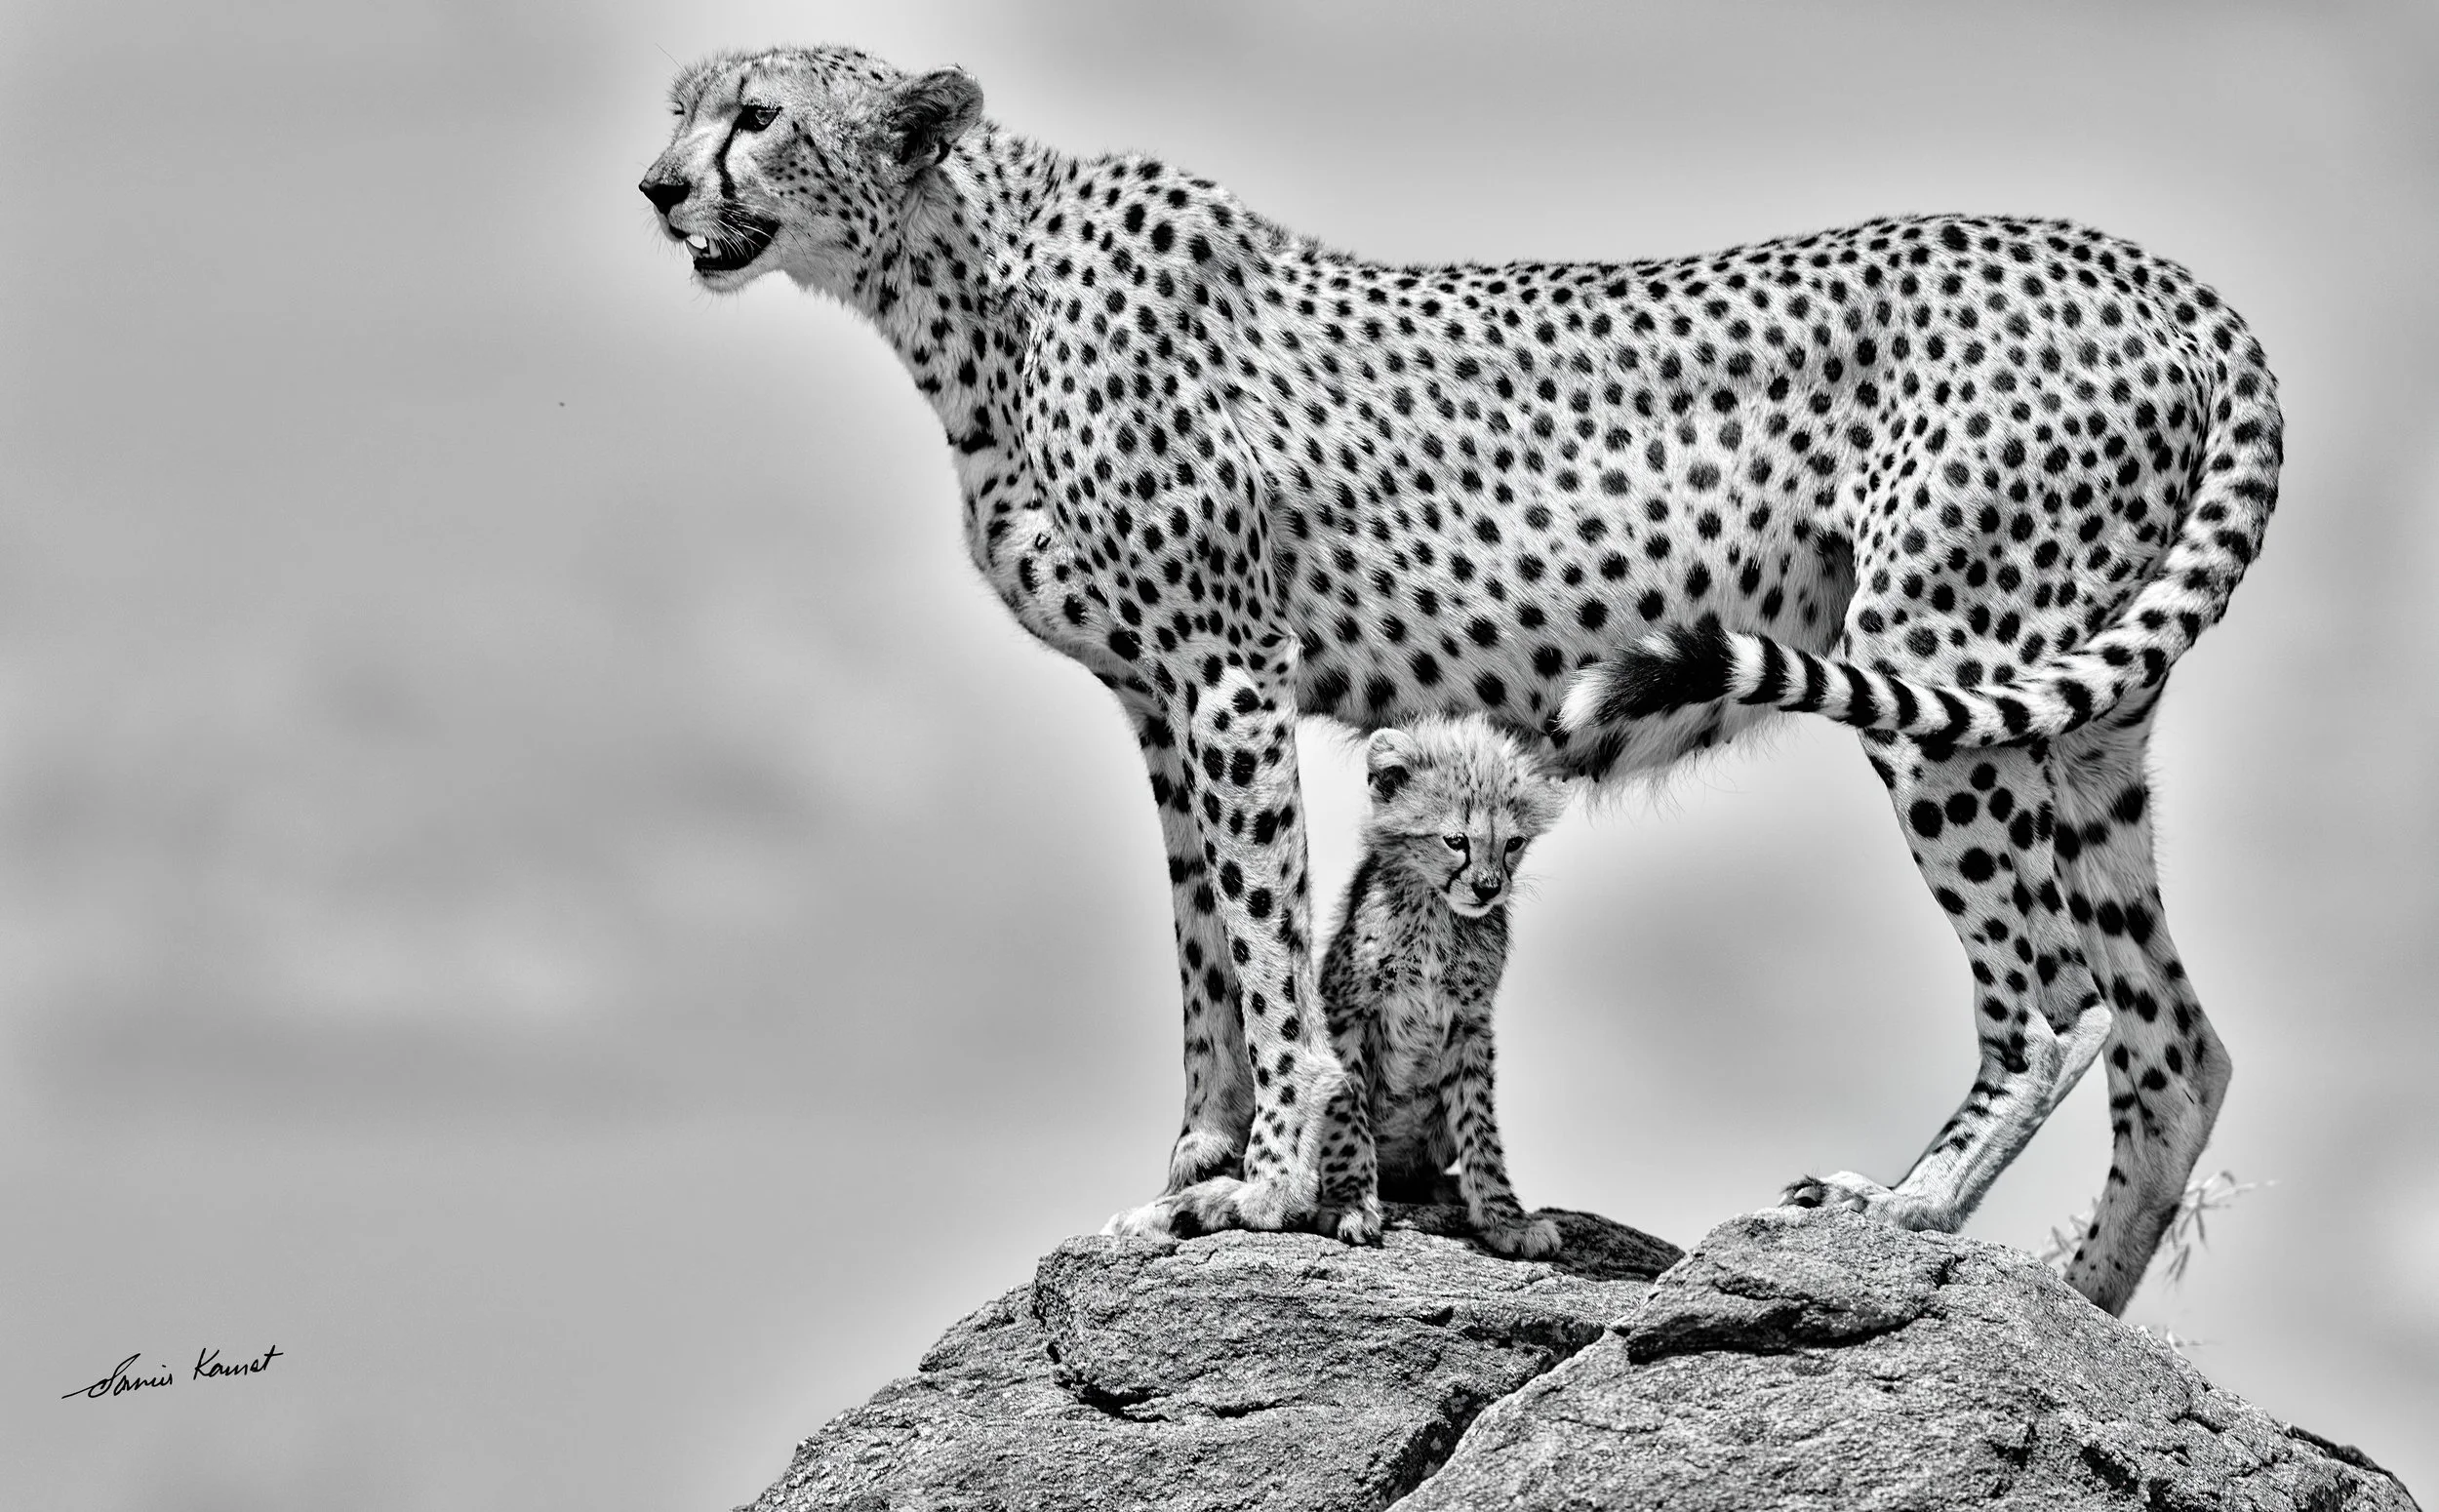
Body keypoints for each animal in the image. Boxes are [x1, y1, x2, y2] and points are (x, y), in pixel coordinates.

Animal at [1316, 715, 1571, 1259]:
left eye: (1513, 843)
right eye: (1456, 840)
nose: (1489, 888)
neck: (1436, 910)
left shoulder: (1470, 1023)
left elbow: (1479, 1125)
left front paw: (1504, 1220)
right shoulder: (1347, 1011)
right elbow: (1348, 1113)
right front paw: (1351, 1203)